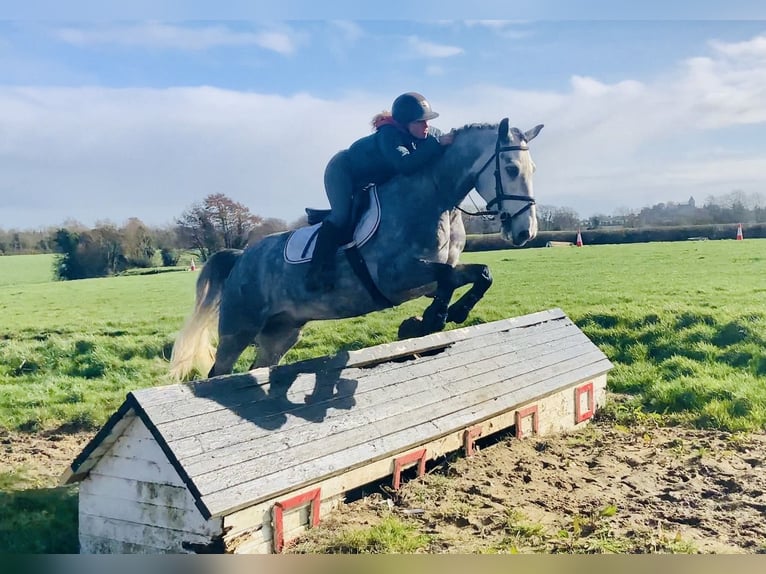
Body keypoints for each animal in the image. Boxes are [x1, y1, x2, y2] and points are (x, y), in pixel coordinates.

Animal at [169, 118, 543, 380]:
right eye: (511, 169)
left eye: (533, 170)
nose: (525, 232)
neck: (434, 199)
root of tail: (242, 259)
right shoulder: (397, 277)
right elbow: (451, 277)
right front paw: (433, 319)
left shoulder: (426, 279)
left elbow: (475, 274)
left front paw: (441, 316)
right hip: (239, 329)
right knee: (219, 372)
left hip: (281, 333)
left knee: (259, 367)